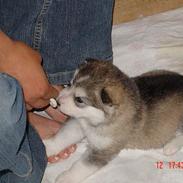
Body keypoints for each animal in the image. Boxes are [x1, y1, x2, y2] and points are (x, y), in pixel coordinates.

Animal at [43, 59, 183, 182]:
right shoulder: (78, 123)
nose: (58, 100)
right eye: (70, 83)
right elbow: (64, 137)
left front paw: (65, 177)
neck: (95, 121)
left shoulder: (103, 150)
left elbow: (82, 166)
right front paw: (47, 147)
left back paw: (171, 146)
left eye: (79, 100)